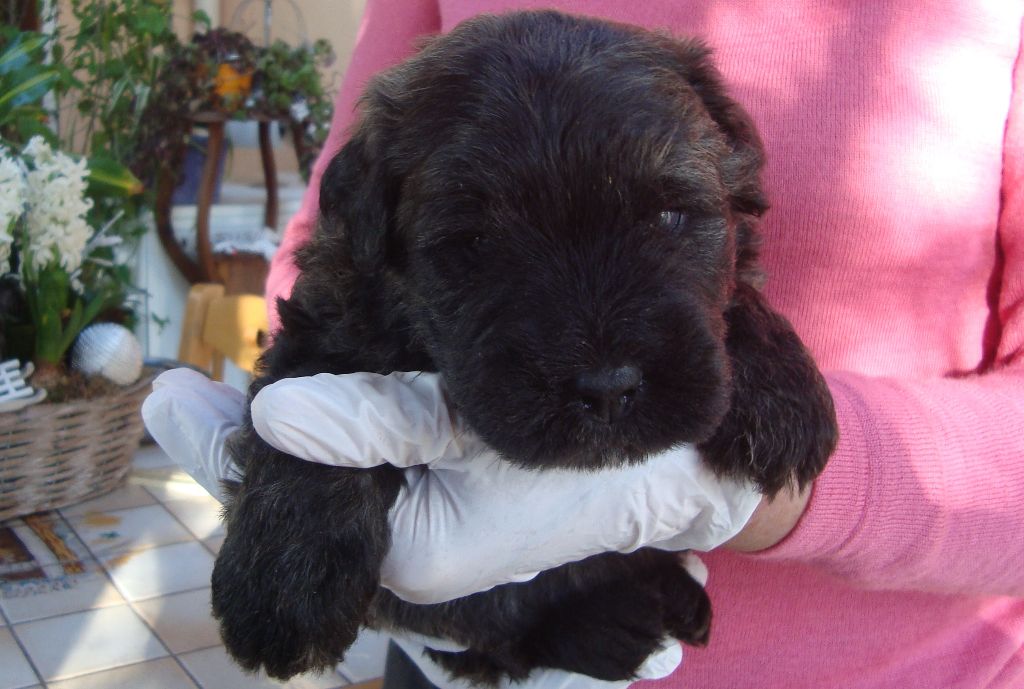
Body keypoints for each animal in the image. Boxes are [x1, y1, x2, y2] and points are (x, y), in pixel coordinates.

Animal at [211, 9, 835, 683]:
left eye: (669, 216)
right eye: (476, 241)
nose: (608, 390)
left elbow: (738, 292)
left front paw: (784, 394)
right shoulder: (326, 318)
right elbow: (302, 429)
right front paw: (285, 586)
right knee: (501, 628)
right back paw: (617, 624)